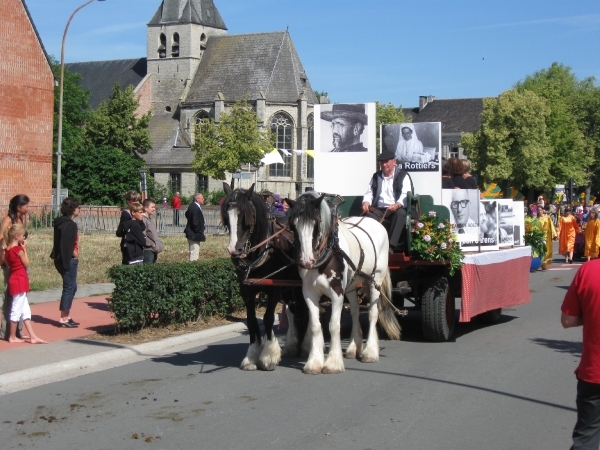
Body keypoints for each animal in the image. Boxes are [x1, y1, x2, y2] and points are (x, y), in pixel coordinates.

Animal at [288, 192, 400, 374]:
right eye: (293, 225)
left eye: (315, 223)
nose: (306, 261)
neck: (326, 254)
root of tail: (377, 223)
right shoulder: (309, 293)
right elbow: (315, 326)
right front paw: (314, 362)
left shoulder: (336, 293)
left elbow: (334, 325)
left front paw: (333, 363)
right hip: (352, 285)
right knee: (354, 311)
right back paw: (354, 348)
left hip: (375, 280)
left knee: (372, 313)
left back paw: (370, 352)